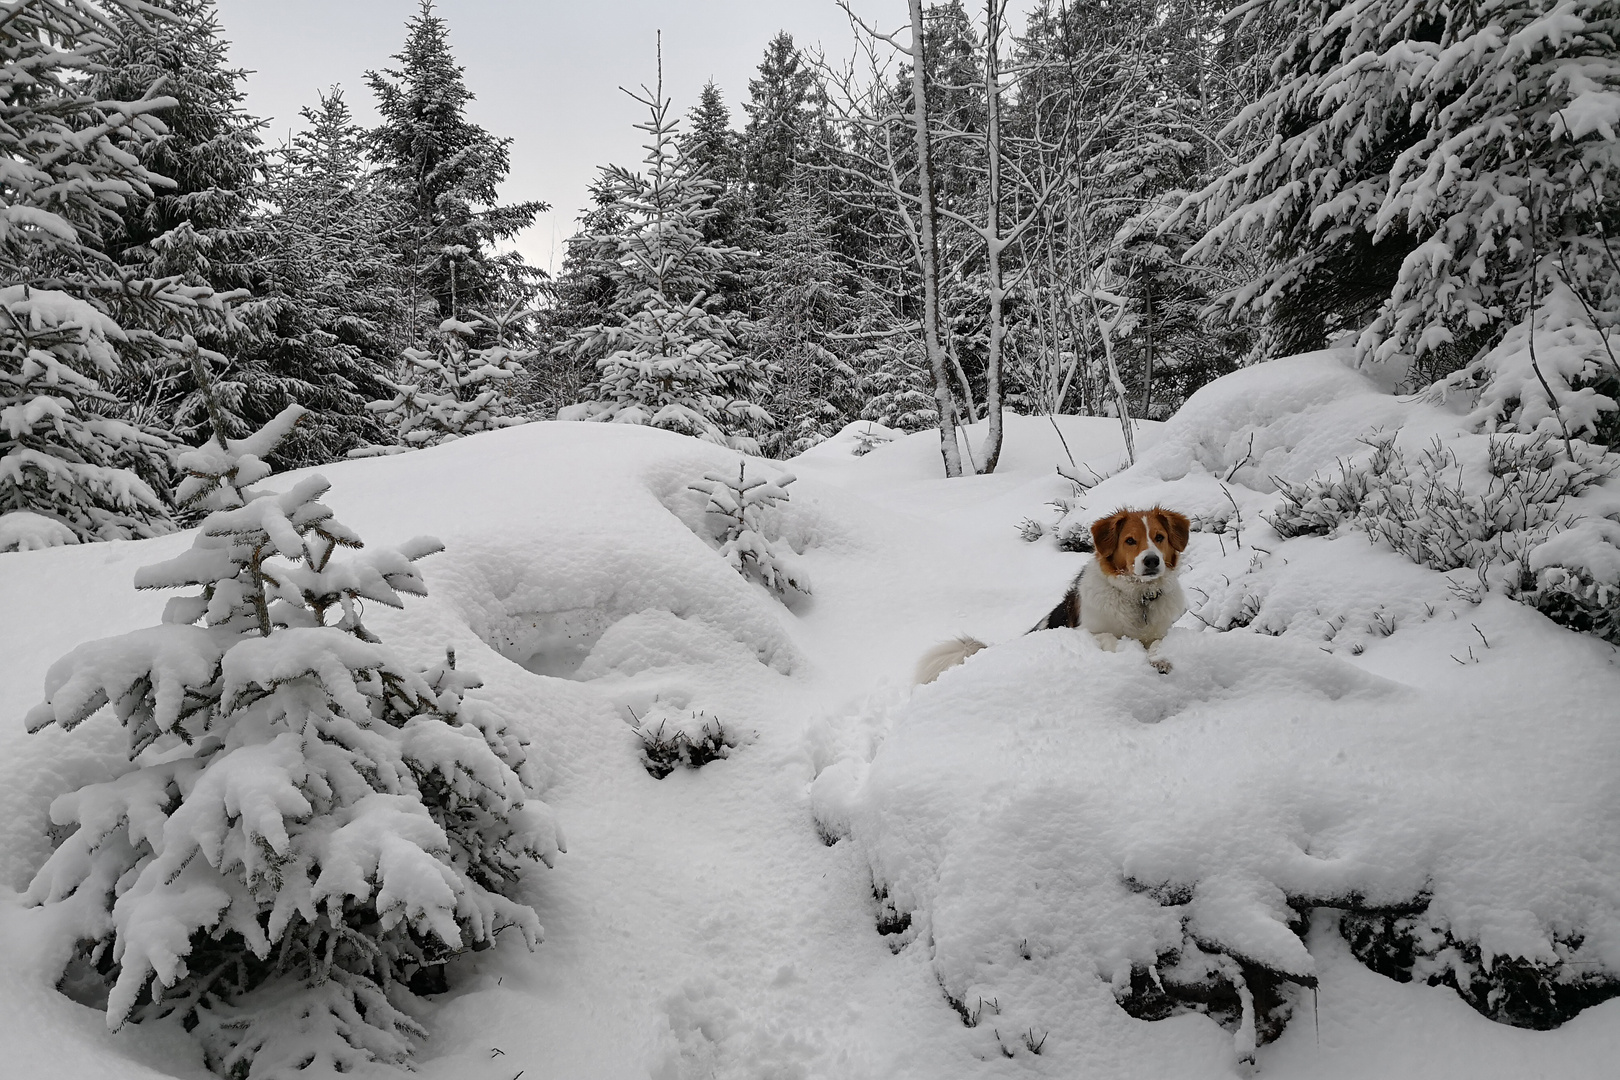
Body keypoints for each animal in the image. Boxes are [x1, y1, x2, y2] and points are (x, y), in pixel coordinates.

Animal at [920, 508, 1198, 683]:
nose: (1151, 561)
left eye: (1159, 537)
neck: (1138, 597)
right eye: (1130, 540)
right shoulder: (1086, 630)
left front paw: (1160, 660)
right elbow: (1109, 637)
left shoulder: (1160, 630)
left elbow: (1158, 644)